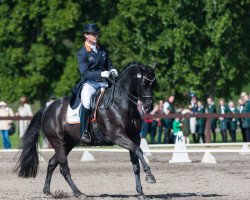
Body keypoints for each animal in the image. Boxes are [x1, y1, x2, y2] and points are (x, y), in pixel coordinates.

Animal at [14, 61, 156, 200]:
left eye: (154, 84)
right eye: (144, 83)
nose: (148, 107)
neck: (120, 103)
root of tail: (47, 109)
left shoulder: (134, 137)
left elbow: (136, 162)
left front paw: (141, 192)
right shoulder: (118, 136)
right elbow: (138, 150)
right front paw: (150, 176)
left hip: (68, 144)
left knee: (52, 163)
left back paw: (48, 191)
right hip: (58, 142)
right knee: (63, 168)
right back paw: (78, 193)